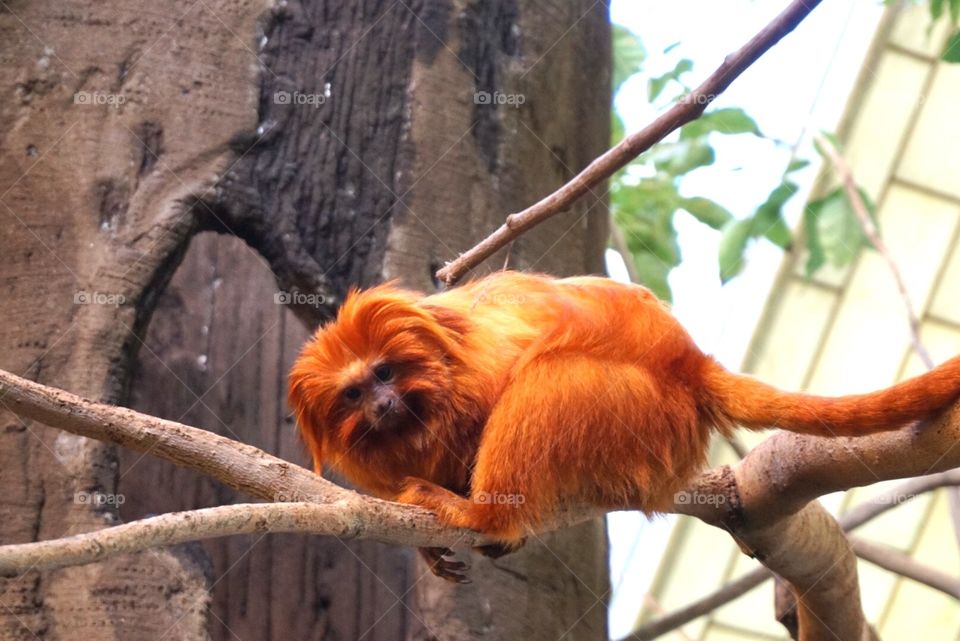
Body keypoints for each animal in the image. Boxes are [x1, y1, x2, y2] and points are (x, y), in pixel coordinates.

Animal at [288, 271, 960, 582]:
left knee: (547, 379)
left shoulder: (476, 360)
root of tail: (688, 363)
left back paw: (481, 513)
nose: (382, 405)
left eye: (386, 372)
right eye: (353, 393)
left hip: (632, 403)